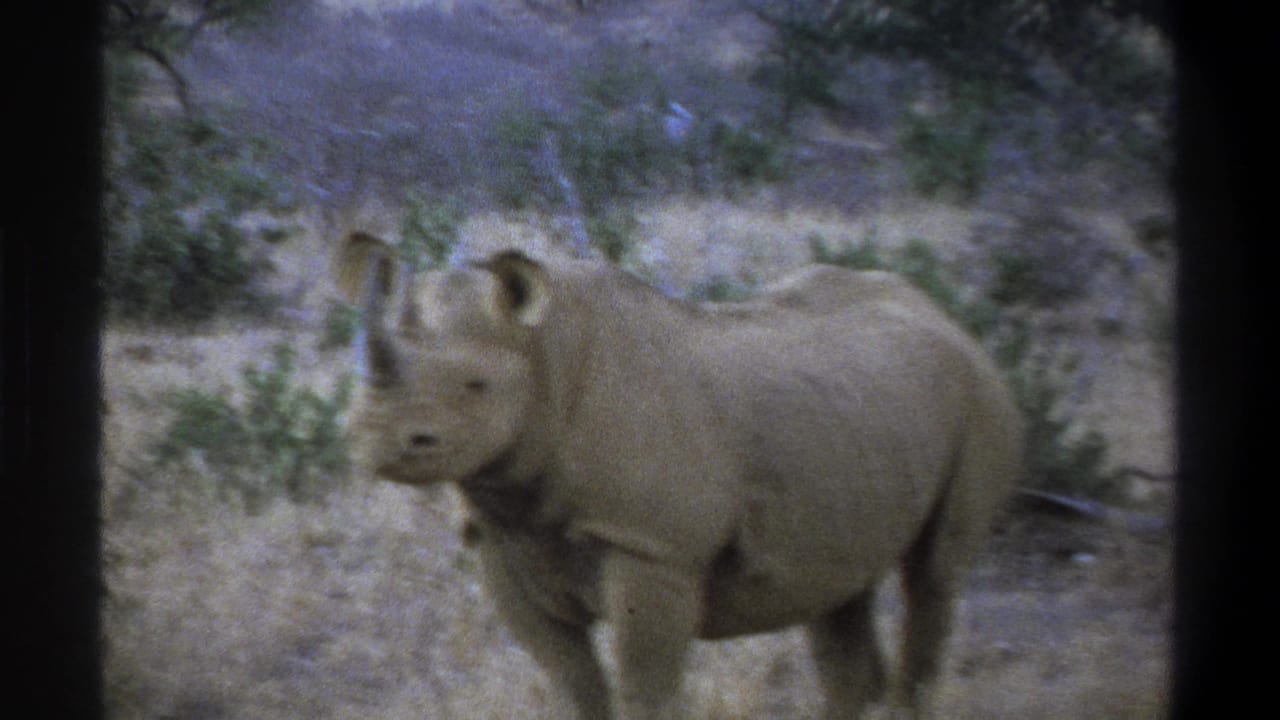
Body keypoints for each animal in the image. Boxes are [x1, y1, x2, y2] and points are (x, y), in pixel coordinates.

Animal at [336, 232, 1023, 720]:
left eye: (476, 386)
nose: (377, 440)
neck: (544, 353)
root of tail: (947, 316)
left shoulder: (654, 547)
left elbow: (646, 690)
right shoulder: (502, 538)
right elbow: (575, 686)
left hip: (981, 395)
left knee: (934, 576)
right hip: (863, 414)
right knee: (839, 593)